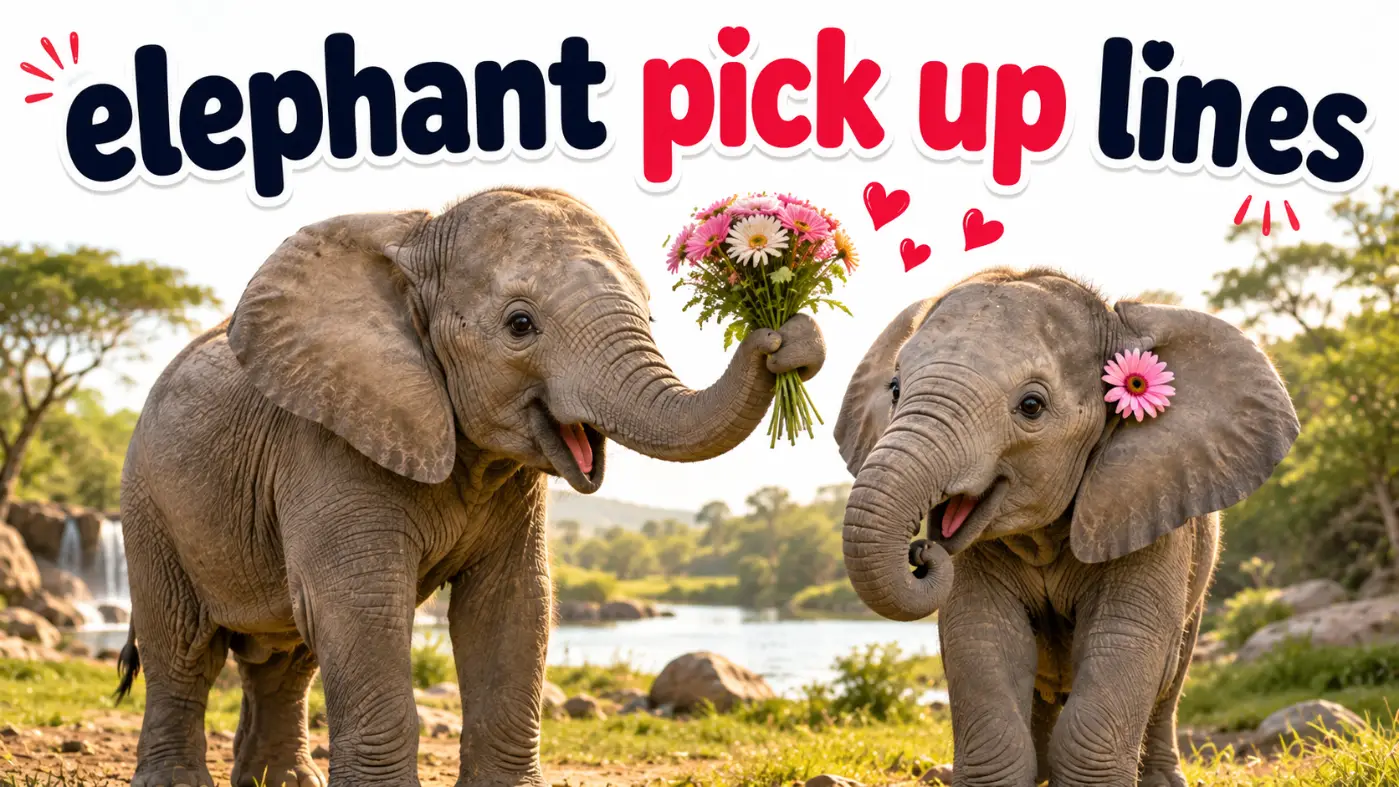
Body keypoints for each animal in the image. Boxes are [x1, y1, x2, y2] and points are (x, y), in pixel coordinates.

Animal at [115, 187, 826, 787]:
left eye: (652, 314)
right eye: (520, 325)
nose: (782, 336)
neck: (416, 244)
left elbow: (512, 608)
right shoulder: (327, 443)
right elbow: (362, 605)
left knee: (284, 659)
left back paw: (284, 782)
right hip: (147, 499)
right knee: (183, 645)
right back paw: (178, 781)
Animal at [834, 268, 1298, 786]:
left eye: (1032, 406)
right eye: (895, 390)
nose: (921, 552)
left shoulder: (1148, 505)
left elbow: (1126, 641)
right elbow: (981, 639)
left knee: (1171, 678)